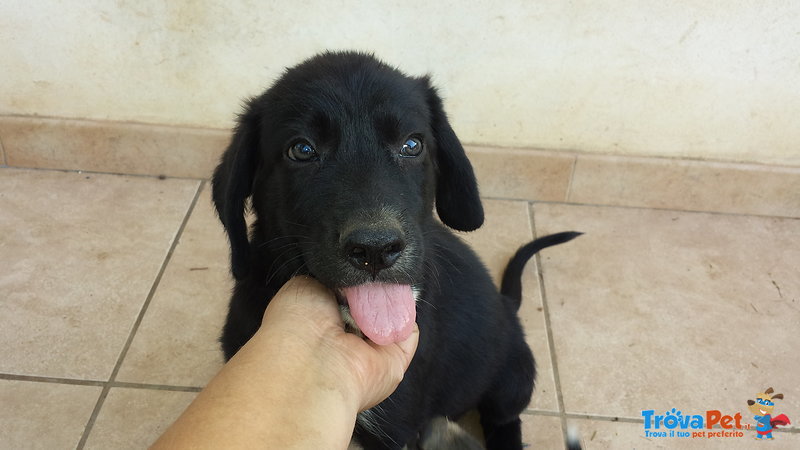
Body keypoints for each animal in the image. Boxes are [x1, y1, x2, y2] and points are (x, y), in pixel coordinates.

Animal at [211, 51, 576, 448]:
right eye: (302, 150)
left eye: (412, 145)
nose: (376, 249)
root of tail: (507, 304)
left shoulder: (396, 427)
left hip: (514, 375)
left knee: (506, 418)